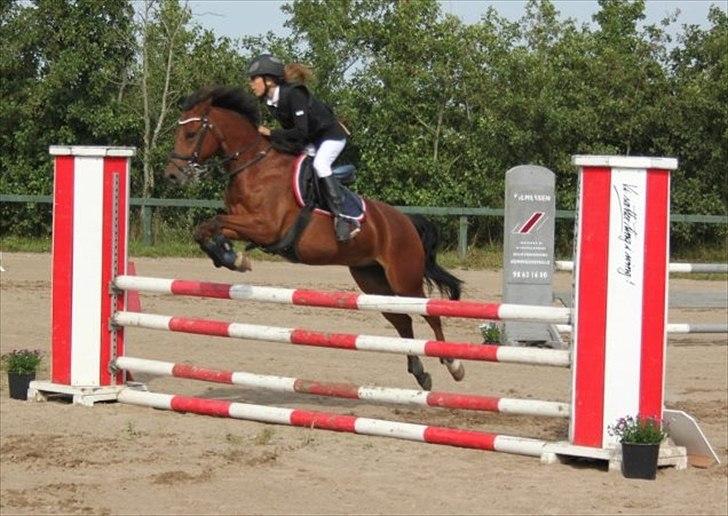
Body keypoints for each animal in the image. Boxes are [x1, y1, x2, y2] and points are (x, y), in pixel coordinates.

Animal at [164, 86, 464, 390]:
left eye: (190, 134)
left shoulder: (266, 227)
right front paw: (229, 256)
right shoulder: (245, 222)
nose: (172, 175)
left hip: (404, 279)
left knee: (430, 313)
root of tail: (405, 221)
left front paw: (232, 257)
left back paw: (454, 364)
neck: (253, 166)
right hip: (372, 281)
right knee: (402, 320)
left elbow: (214, 223)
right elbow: (206, 228)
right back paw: (420, 372)